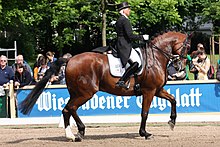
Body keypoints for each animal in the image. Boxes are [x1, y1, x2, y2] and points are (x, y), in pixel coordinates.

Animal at [19, 30, 192, 141]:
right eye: (187, 47)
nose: (180, 67)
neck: (155, 57)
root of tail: (70, 59)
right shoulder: (149, 91)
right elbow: (144, 113)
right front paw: (144, 133)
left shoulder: (157, 90)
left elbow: (173, 99)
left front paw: (172, 122)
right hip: (86, 92)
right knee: (71, 108)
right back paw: (80, 132)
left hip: (76, 92)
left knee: (66, 109)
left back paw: (71, 135)